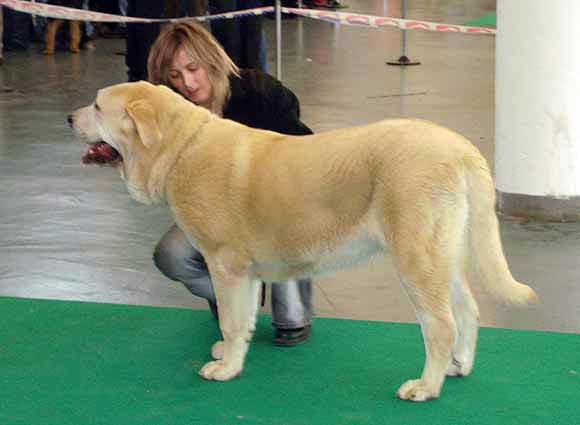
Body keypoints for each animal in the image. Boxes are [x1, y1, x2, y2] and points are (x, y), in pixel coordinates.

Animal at [70, 80, 536, 400]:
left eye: (97, 105)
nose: (69, 119)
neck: (181, 148)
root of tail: (460, 147)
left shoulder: (226, 263)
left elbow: (230, 318)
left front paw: (226, 371)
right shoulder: (246, 272)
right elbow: (242, 320)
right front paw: (232, 355)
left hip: (416, 257)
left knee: (440, 324)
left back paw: (426, 386)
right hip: (443, 255)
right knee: (469, 310)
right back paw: (460, 366)